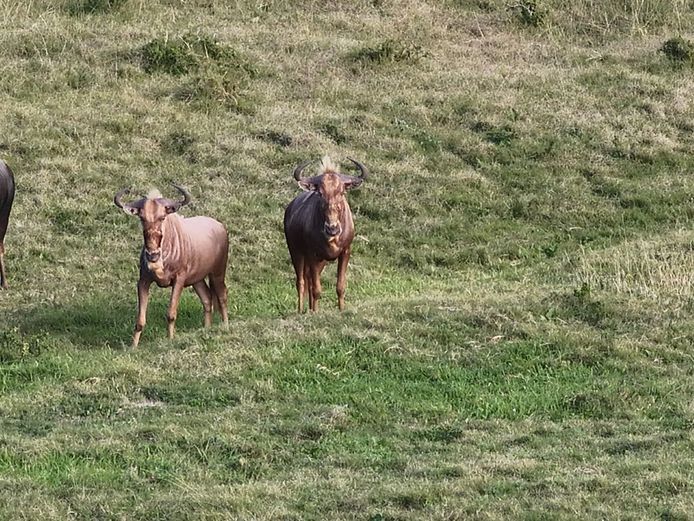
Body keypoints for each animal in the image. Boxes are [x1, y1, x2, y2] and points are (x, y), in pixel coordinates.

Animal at [114, 185, 229, 347]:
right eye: (142, 218)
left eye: (162, 217)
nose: (152, 255)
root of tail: (220, 226)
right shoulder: (143, 282)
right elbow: (140, 320)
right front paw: (133, 347)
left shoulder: (179, 280)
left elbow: (171, 313)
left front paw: (170, 340)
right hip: (197, 279)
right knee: (207, 298)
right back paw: (206, 329)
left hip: (217, 272)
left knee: (222, 295)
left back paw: (225, 326)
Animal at [283, 156, 368, 313]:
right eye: (320, 193)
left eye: (342, 191)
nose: (332, 228)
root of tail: (290, 208)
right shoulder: (311, 254)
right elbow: (317, 289)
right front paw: (315, 312)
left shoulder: (345, 252)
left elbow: (340, 286)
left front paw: (341, 309)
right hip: (296, 251)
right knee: (301, 282)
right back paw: (301, 310)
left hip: (320, 261)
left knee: (309, 280)